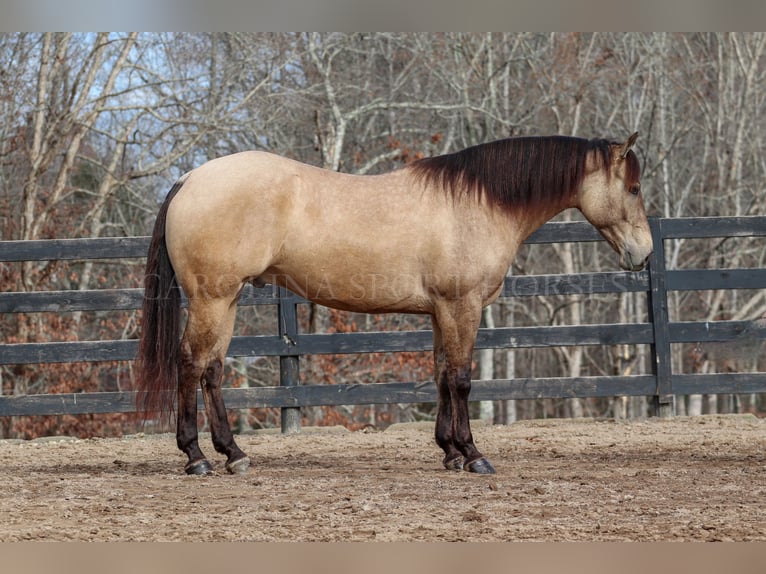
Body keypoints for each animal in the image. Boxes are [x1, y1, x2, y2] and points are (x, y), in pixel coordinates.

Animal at [136, 134, 656, 476]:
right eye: (633, 188)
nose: (645, 253)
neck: (477, 204)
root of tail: (190, 178)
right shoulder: (461, 306)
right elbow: (461, 379)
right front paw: (473, 455)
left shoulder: (441, 312)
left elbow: (442, 372)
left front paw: (449, 452)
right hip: (212, 298)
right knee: (190, 363)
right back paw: (196, 458)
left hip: (227, 301)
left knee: (212, 369)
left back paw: (235, 455)